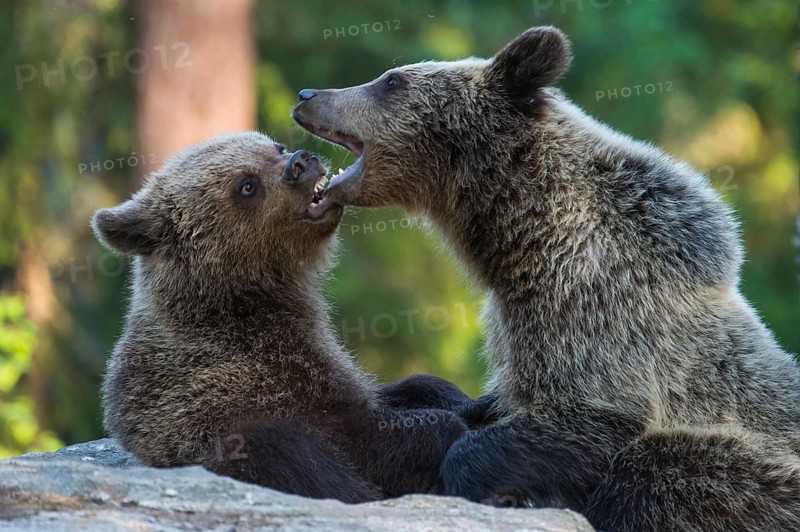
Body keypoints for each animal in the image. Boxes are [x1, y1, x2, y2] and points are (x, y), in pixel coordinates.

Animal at [92, 131, 473, 503]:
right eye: (247, 185)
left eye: (276, 147)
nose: (301, 162)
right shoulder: (260, 379)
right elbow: (364, 436)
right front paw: (446, 433)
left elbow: (409, 387)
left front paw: (459, 400)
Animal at [292, 27, 800, 530]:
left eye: (392, 81)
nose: (307, 95)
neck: (528, 239)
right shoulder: (516, 322)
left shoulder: (596, 309)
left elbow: (591, 417)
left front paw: (486, 483)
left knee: (657, 473)